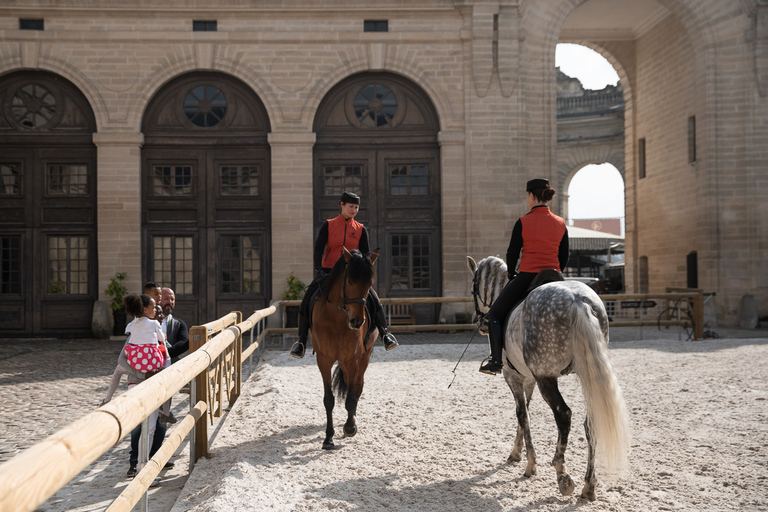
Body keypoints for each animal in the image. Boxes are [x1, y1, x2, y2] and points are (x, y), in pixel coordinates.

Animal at [310, 246, 380, 450]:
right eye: (349, 281)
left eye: (370, 283)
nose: (357, 321)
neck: (336, 319)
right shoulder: (323, 360)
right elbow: (329, 400)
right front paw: (328, 438)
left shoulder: (353, 359)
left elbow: (351, 396)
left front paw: (350, 427)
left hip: (364, 357)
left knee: (357, 385)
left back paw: (352, 420)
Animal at [468, 256, 632, 500]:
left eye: (473, 288)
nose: (480, 322)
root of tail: (577, 301)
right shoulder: (528, 379)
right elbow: (524, 413)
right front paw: (517, 454)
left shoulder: (514, 377)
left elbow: (522, 415)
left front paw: (529, 464)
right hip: (587, 374)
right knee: (590, 422)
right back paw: (588, 486)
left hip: (546, 378)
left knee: (563, 415)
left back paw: (562, 474)